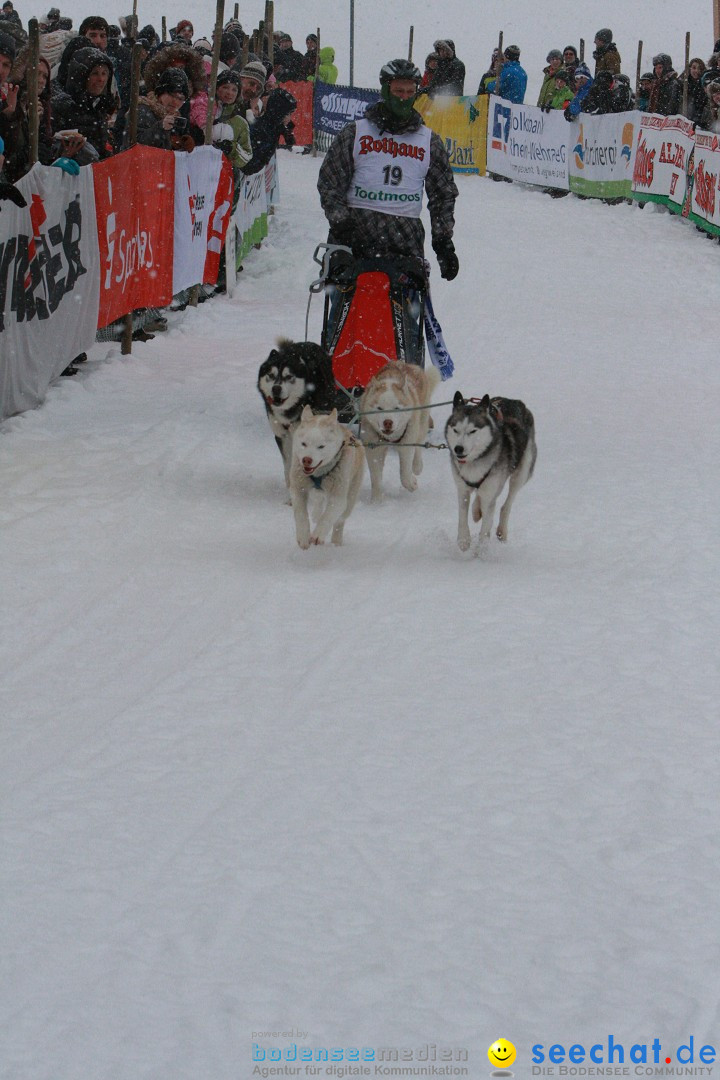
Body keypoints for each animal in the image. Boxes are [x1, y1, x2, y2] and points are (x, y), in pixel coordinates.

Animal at [289, 406, 367, 548]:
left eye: (321, 446)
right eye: (304, 444)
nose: (306, 460)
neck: (319, 473)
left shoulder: (338, 497)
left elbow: (328, 516)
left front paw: (318, 535)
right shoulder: (297, 488)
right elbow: (300, 513)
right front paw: (303, 536)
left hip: (351, 496)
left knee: (339, 520)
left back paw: (336, 541)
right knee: (318, 501)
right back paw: (316, 514)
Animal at [358, 358, 442, 501]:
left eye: (396, 408)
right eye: (379, 408)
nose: (387, 422)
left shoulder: (406, 445)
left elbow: (404, 475)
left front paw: (412, 484)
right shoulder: (373, 448)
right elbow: (376, 478)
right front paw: (376, 501)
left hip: (421, 422)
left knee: (418, 444)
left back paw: (417, 466)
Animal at [442, 393, 537, 552]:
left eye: (472, 431)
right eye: (456, 430)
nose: (458, 449)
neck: (475, 461)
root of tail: (515, 401)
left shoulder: (491, 490)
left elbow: (485, 529)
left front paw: (480, 551)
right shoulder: (462, 489)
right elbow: (462, 515)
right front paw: (463, 540)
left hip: (521, 474)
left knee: (507, 503)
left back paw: (501, 530)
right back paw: (476, 511)